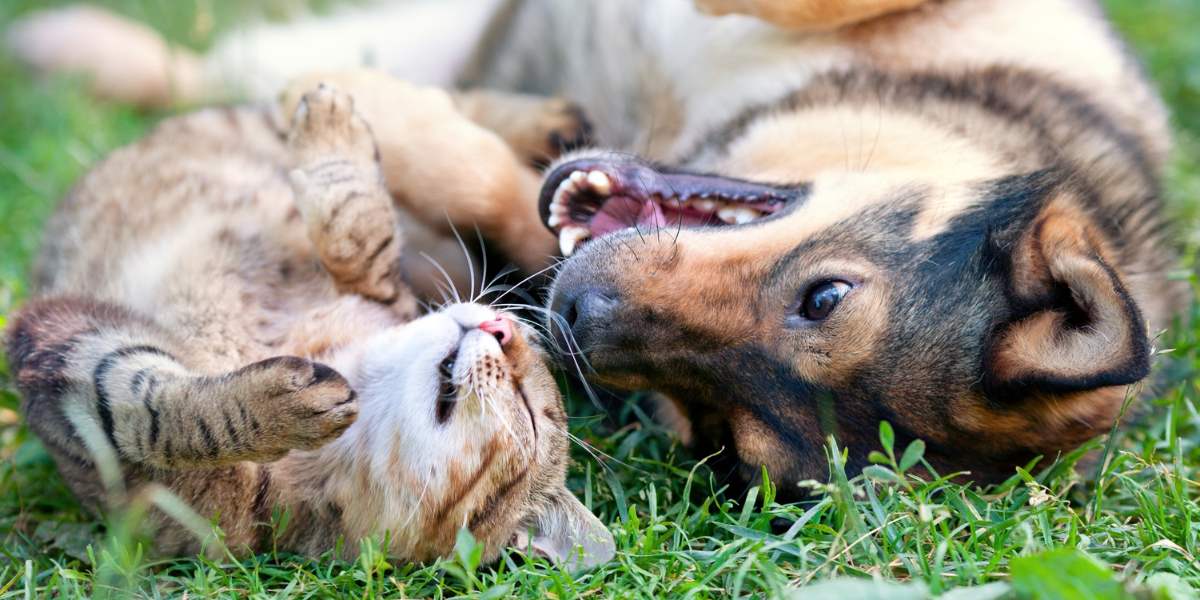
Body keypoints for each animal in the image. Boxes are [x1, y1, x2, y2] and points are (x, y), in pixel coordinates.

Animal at [9, 0, 1185, 496]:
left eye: (720, 433)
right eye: (824, 297)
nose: (572, 320)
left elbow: (490, 190)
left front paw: (397, 126)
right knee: (202, 58)